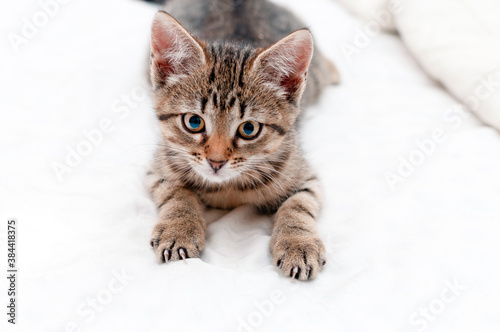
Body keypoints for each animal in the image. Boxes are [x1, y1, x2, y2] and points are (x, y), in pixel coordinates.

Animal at [146, 0, 338, 280]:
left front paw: (298, 243)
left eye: (249, 129)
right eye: (194, 122)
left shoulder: (304, 175)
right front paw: (178, 228)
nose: (216, 162)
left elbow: (298, 205)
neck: (227, 189)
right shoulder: (160, 165)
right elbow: (178, 193)